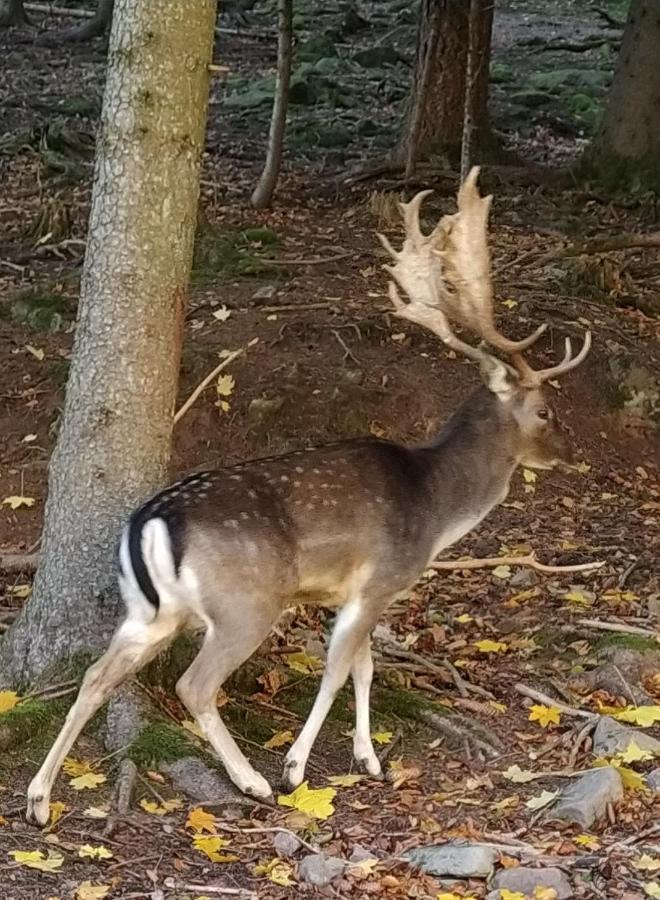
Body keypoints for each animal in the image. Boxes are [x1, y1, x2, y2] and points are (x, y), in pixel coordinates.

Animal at [27, 167, 592, 824]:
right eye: (545, 410)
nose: (569, 452)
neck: (435, 506)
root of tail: (151, 519)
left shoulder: (353, 592)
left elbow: (366, 669)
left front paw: (369, 759)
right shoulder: (379, 579)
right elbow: (338, 670)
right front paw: (297, 767)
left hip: (148, 612)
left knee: (95, 675)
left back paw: (38, 799)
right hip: (244, 603)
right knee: (194, 685)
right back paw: (253, 781)